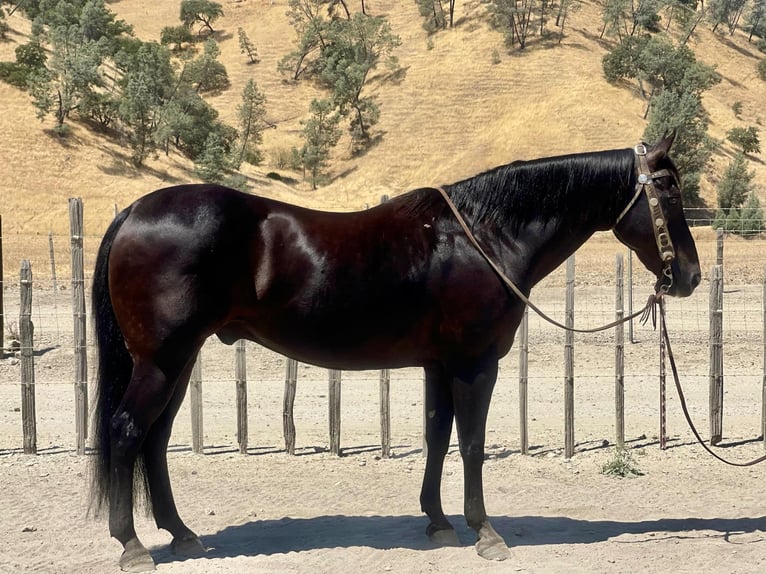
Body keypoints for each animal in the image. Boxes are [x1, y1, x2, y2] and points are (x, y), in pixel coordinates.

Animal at [90, 134, 701, 571]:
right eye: (668, 191)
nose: (691, 276)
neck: (483, 235)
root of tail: (133, 212)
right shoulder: (476, 364)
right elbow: (472, 444)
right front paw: (485, 533)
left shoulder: (438, 364)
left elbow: (437, 436)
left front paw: (438, 524)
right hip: (162, 361)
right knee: (127, 430)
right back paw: (132, 545)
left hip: (179, 360)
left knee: (155, 440)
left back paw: (182, 535)